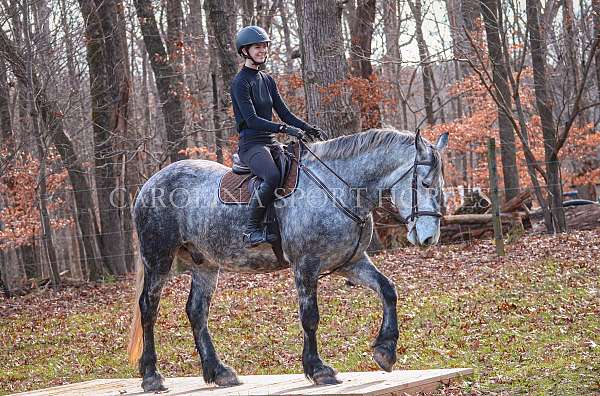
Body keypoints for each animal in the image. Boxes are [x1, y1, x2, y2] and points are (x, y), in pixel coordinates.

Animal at [127, 129, 446, 390]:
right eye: (425, 183)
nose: (429, 237)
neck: (339, 187)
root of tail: (150, 183)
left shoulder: (351, 263)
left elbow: (388, 290)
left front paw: (385, 351)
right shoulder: (306, 265)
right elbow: (310, 316)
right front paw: (318, 369)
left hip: (204, 265)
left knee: (196, 312)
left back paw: (219, 372)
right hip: (158, 258)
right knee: (149, 309)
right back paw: (152, 376)